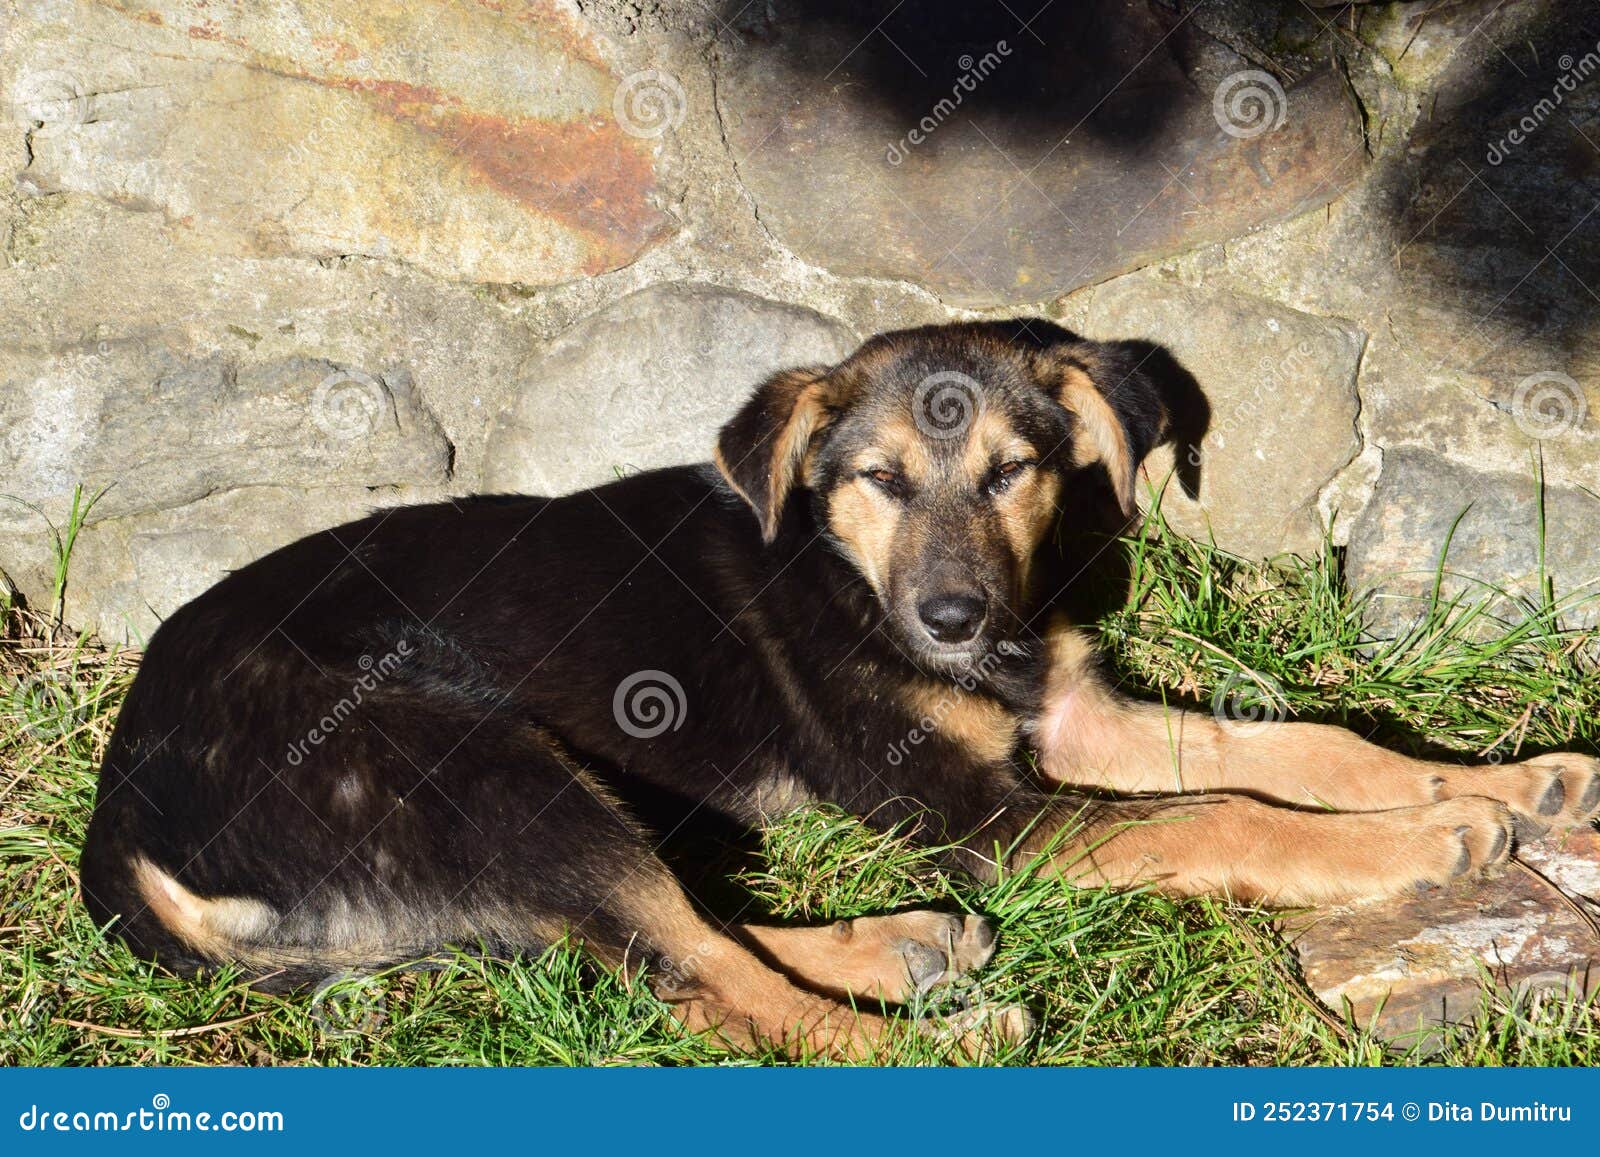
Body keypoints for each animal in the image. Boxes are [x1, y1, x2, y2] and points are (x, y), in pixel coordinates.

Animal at [81, 316, 1600, 1056]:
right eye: (877, 478)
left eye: (1014, 470)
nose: (954, 618)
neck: (839, 567)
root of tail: (121, 820)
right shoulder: (980, 817)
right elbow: (1224, 814)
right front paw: (1422, 840)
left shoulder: (1073, 715)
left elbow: (1313, 744)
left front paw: (1509, 780)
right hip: (471, 764)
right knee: (709, 994)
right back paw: (951, 1036)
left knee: (667, 943)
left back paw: (902, 949)